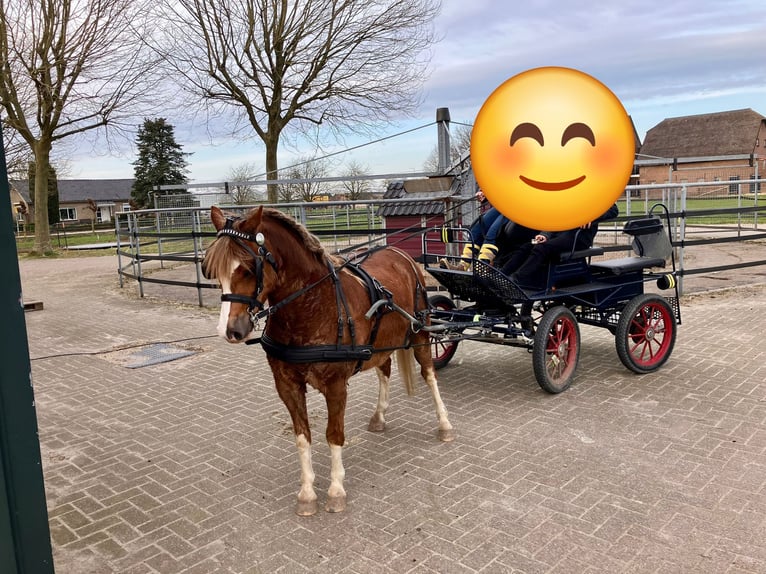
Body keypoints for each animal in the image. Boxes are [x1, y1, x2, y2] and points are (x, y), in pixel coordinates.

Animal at [204, 207, 456, 516]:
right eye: (212, 270)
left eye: (250, 268)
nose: (230, 331)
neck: (311, 305)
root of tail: (400, 254)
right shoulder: (286, 385)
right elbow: (303, 436)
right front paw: (307, 493)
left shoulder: (336, 386)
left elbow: (334, 434)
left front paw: (336, 491)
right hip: (381, 343)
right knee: (384, 370)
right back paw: (379, 417)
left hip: (420, 332)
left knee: (429, 375)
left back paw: (444, 424)